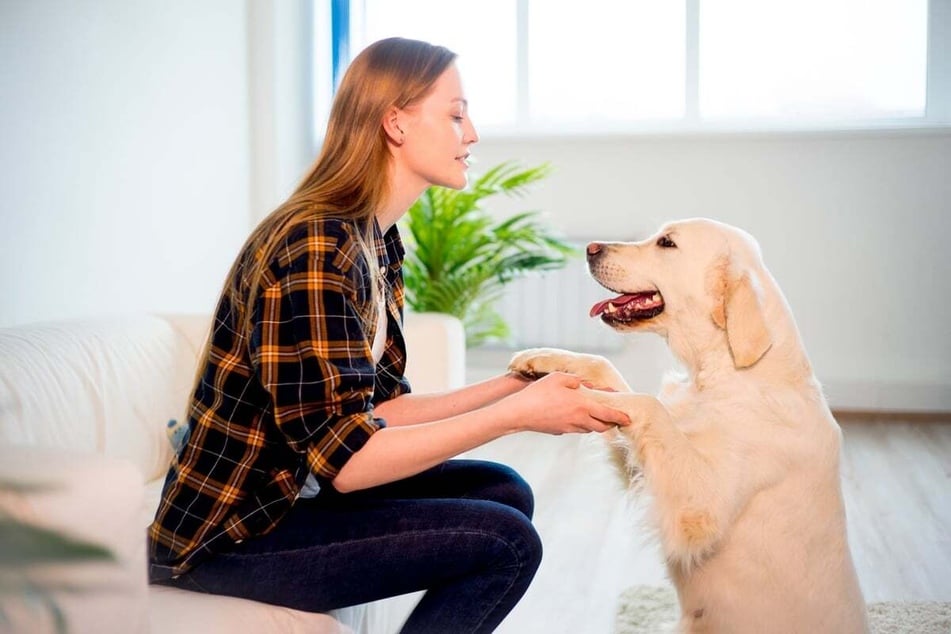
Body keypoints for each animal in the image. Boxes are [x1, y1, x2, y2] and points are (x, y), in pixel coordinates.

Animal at [512, 218, 872, 632]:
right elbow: (606, 367)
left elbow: (647, 403)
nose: (590, 248)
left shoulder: (700, 505)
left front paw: (563, 395)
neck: (727, 369)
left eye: (667, 243)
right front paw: (543, 358)